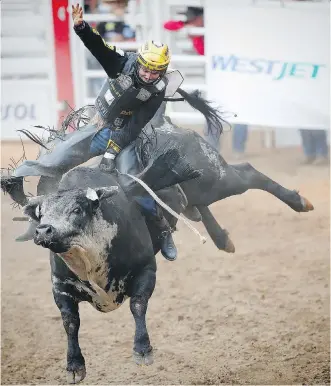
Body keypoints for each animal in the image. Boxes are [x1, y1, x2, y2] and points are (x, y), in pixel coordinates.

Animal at [1, 105, 314, 382]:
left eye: (77, 209)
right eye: (41, 213)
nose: (44, 231)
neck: (90, 260)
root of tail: (165, 123)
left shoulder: (145, 271)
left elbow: (138, 306)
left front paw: (142, 351)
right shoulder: (60, 287)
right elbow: (70, 323)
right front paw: (74, 366)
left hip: (213, 178)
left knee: (247, 173)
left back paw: (299, 202)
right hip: (198, 190)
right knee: (199, 206)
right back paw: (222, 238)